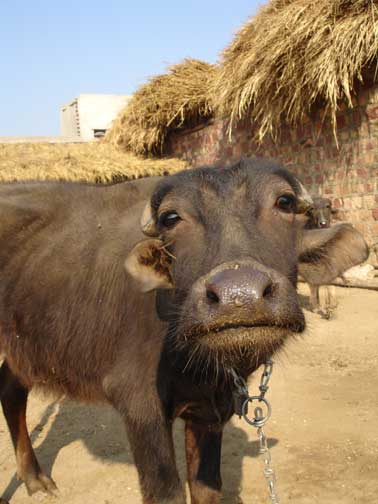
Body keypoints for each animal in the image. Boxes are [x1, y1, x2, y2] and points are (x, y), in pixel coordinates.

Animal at [0, 159, 368, 502]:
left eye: (285, 202)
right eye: (171, 218)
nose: (239, 295)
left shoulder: (212, 409)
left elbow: (207, 488)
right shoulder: (140, 405)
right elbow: (166, 492)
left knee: (11, 390)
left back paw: (35, 479)